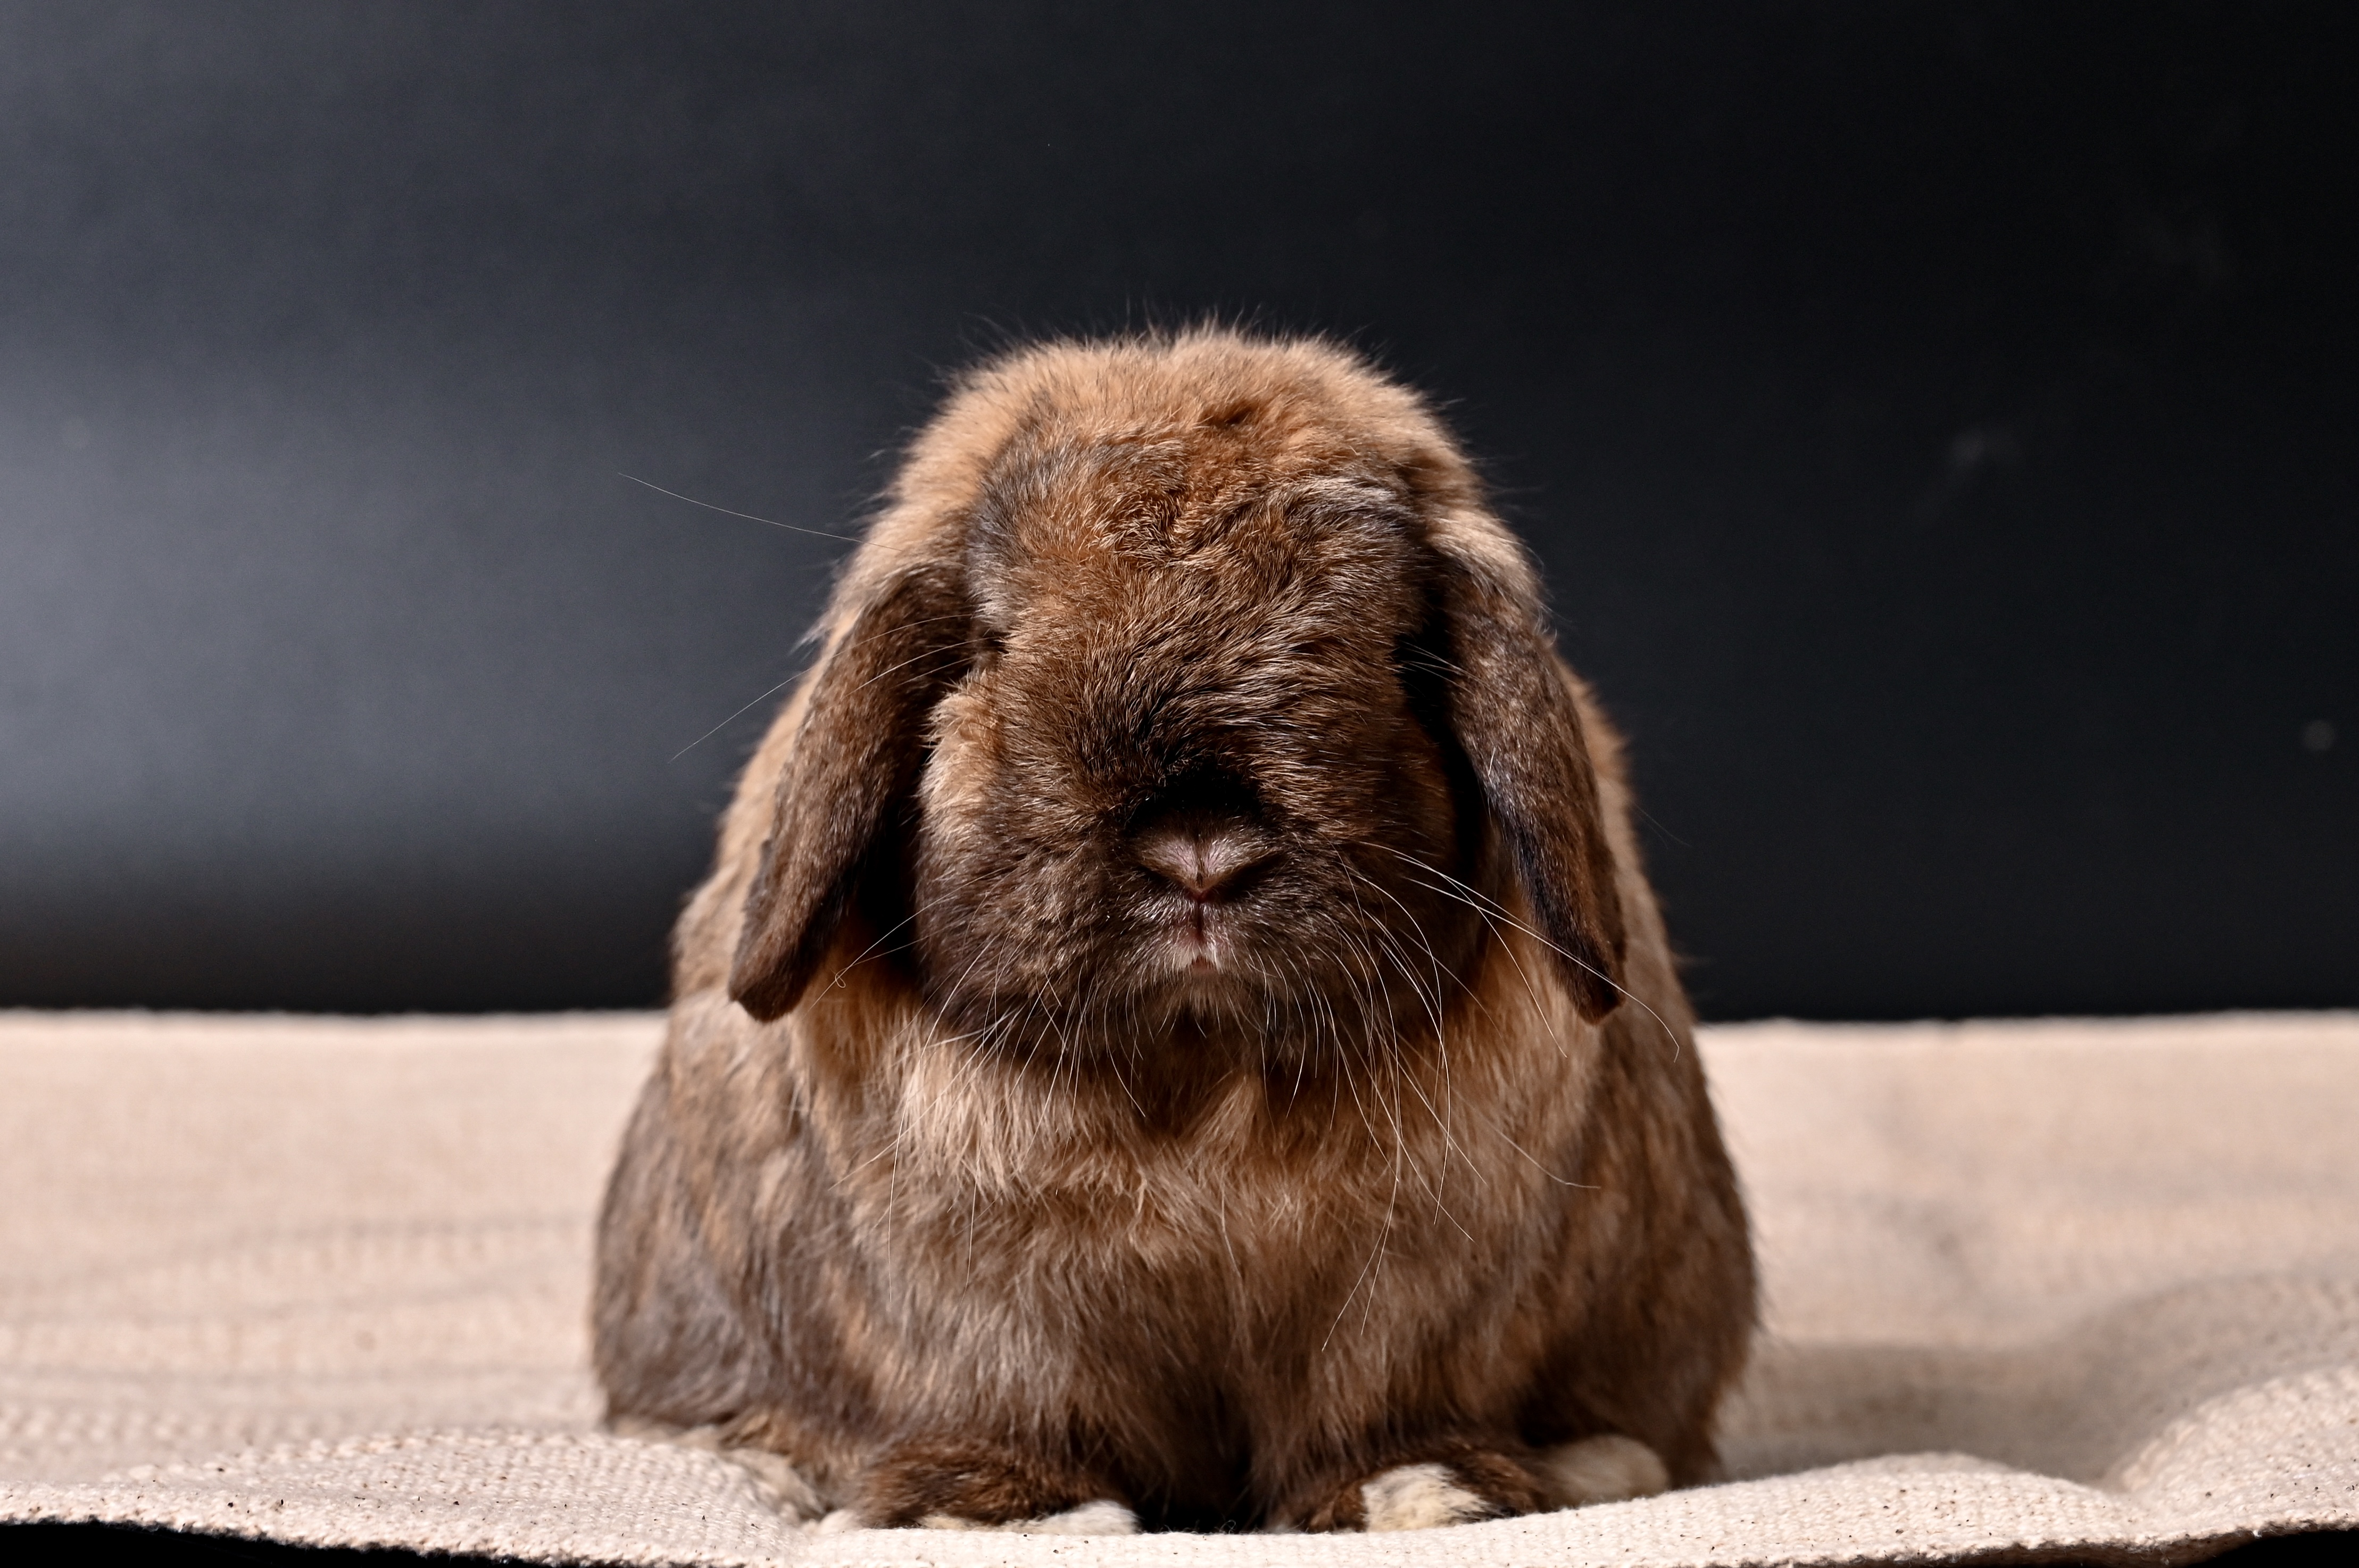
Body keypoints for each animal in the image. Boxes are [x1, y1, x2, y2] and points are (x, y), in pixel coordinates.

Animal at [592, 328, 1754, 1534]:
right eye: (990, 642)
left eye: (1398, 651)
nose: (1201, 851)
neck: (1196, 1076)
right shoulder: (985, 1322)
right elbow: (1005, 1407)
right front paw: (998, 1509)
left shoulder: (1417, 1308)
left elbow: (1383, 1409)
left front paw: (1425, 1490)